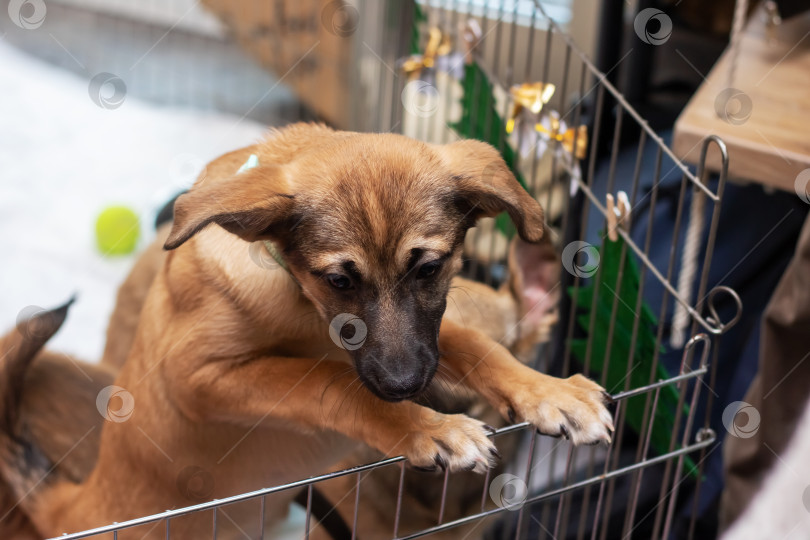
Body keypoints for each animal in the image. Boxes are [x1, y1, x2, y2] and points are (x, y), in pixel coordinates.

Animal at [0, 124, 612, 536]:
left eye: (430, 269)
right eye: (338, 279)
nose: (404, 386)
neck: (301, 303)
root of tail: (71, 506)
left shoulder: (429, 338)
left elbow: (478, 346)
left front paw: (553, 394)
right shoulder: (196, 377)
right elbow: (330, 383)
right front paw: (427, 428)